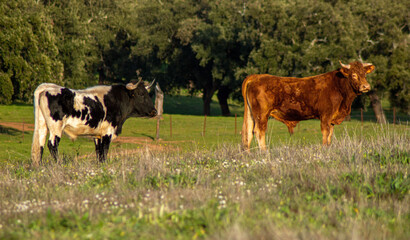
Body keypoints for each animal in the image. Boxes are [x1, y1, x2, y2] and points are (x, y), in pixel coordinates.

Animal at [243, 60, 374, 151]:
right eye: (353, 75)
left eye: (364, 74)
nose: (366, 86)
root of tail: (256, 76)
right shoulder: (325, 116)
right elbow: (326, 133)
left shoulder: (331, 119)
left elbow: (330, 135)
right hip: (261, 115)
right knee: (259, 131)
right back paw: (264, 152)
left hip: (251, 114)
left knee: (248, 132)